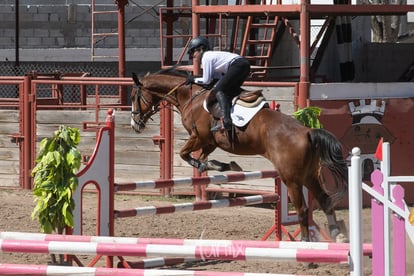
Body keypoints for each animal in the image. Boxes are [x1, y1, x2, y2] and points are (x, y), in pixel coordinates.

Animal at [131, 69, 348, 242]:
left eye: (134, 96)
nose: (135, 125)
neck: (191, 97)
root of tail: (308, 132)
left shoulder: (199, 137)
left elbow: (184, 154)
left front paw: (212, 166)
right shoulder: (209, 142)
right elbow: (201, 157)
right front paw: (222, 166)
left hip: (292, 178)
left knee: (303, 209)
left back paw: (305, 242)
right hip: (309, 175)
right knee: (325, 200)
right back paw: (338, 235)